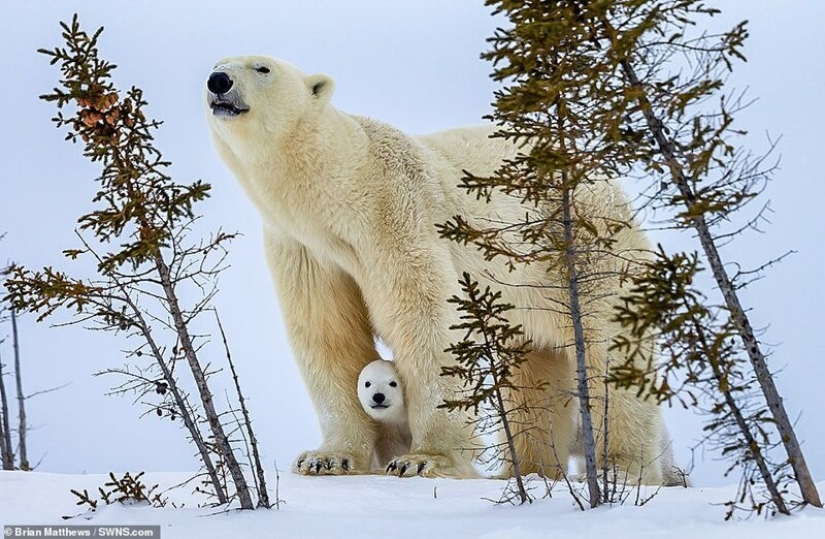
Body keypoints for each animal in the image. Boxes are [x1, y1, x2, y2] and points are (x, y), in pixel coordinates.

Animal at [204, 56, 668, 486]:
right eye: (217, 64)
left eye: (262, 67)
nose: (218, 81)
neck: (340, 192)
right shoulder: (305, 249)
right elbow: (329, 334)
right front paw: (326, 458)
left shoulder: (397, 214)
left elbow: (425, 320)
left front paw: (423, 459)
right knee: (535, 371)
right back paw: (528, 470)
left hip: (583, 251)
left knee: (610, 350)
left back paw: (622, 468)